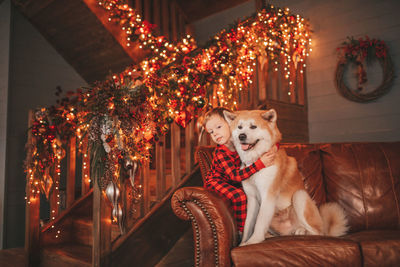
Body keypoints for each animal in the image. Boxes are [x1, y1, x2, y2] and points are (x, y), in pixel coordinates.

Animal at [223, 109, 348, 247]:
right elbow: (248, 225)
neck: (257, 161)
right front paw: (243, 243)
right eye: (239, 127)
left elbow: (259, 222)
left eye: (253, 126)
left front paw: (254, 241)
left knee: (317, 232)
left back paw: (303, 231)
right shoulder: (252, 199)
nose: (241, 136)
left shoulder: (268, 195)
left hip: (300, 196)